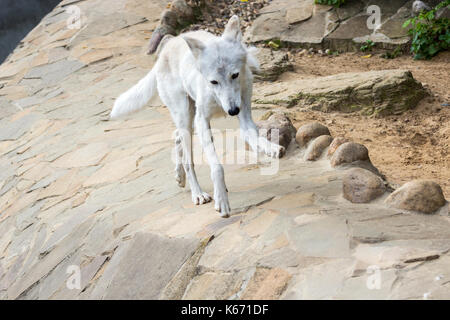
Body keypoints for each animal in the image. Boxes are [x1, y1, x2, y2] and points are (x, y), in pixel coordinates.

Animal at [110, 16, 284, 218]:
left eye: (235, 75)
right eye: (213, 81)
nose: (232, 111)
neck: (218, 99)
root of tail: (167, 47)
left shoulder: (245, 115)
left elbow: (255, 137)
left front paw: (270, 148)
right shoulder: (202, 122)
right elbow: (217, 167)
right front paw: (221, 202)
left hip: (189, 120)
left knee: (176, 137)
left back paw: (180, 177)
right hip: (187, 118)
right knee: (188, 159)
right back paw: (198, 194)